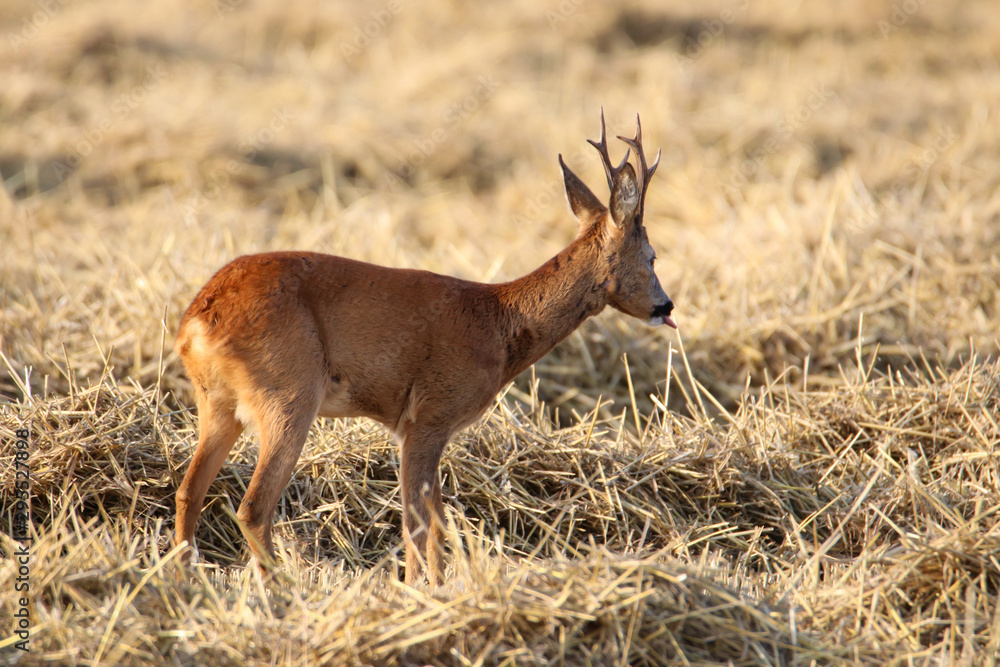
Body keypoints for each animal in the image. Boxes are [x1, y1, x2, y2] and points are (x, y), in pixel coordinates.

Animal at [173, 111, 676, 587]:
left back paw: (186, 578)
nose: (666, 305)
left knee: (189, 490)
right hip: (288, 392)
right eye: (653, 257)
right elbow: (418, 519)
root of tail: (197, 319)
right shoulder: (429, 416)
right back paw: (281, 591)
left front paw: (437, 587)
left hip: (218, 402)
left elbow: (437, 520)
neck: (500, 322)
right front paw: (417, 590)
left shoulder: (423, 427)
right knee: (253, 506)